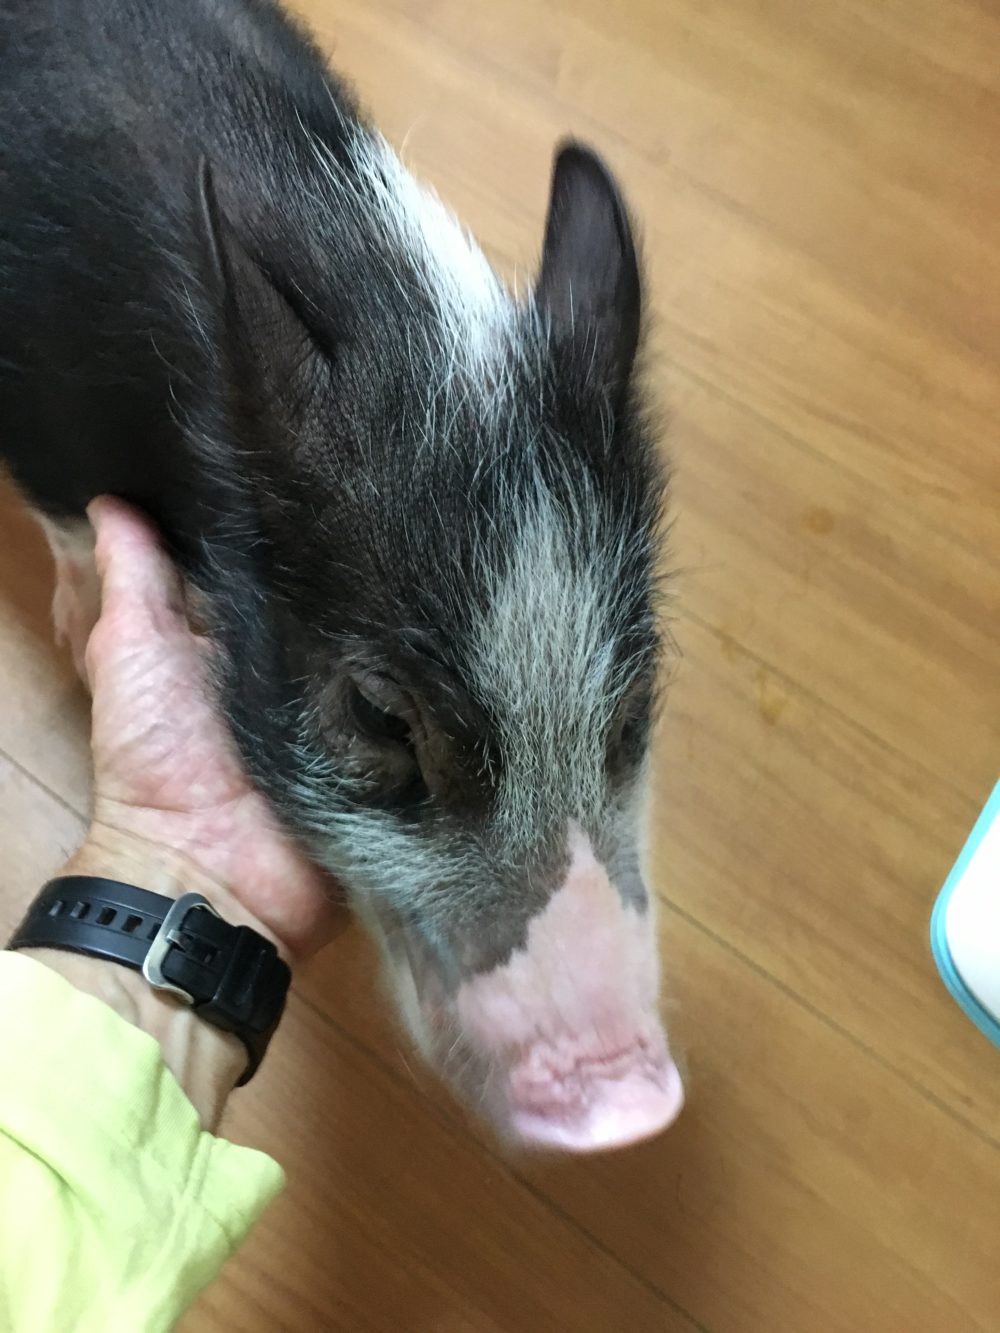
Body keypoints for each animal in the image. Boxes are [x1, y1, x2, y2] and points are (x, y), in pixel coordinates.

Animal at [0, 0, 683, 1150]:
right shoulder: (41, 438)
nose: (632, 1103)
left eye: (634, 703)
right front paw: (77, 617)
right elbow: (75, 534)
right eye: (376, 713)